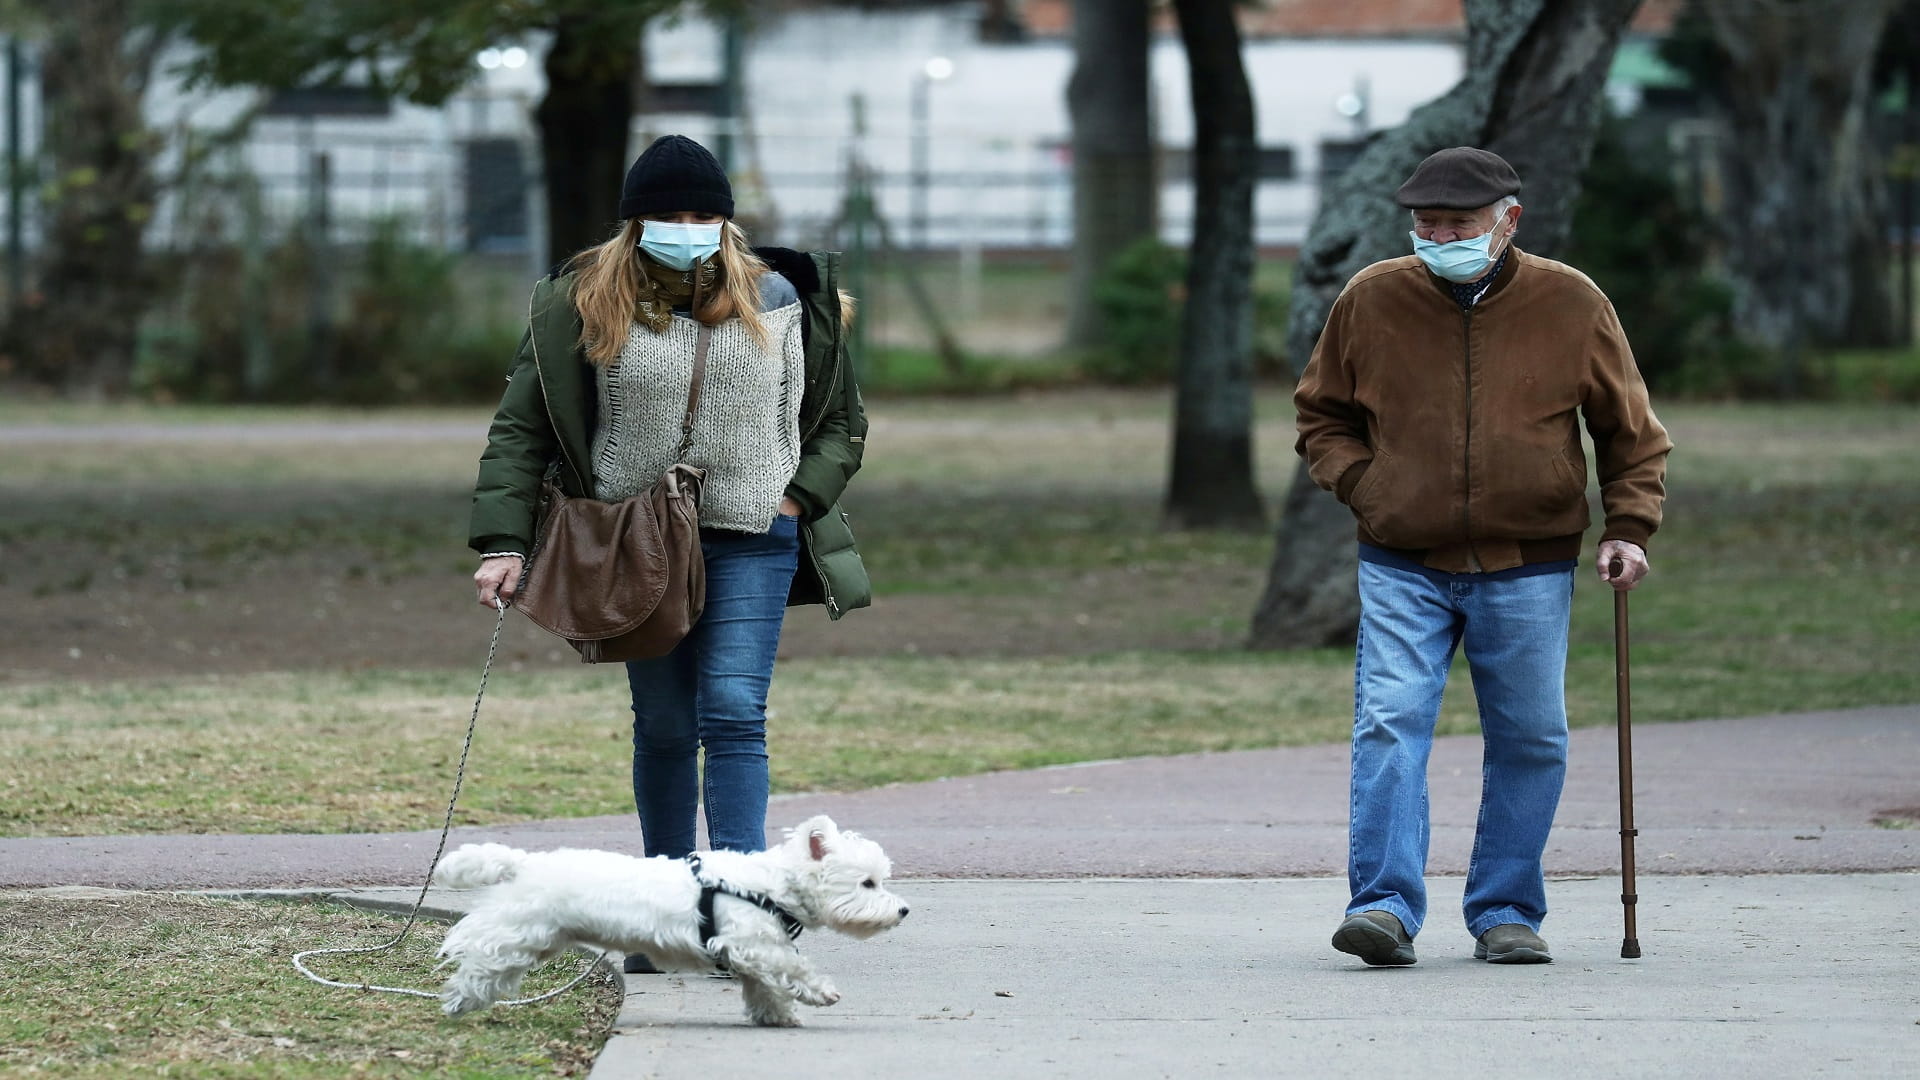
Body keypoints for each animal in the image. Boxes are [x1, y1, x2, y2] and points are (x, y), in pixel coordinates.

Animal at [432, 810, 910, 1022]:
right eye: (868, 883)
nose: (904, 909)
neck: (770, 885)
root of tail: (526, 863)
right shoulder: (752, 943)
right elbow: (791, 967)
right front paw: (820, 992)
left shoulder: (750, 954)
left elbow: (765, 988)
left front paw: (777, 1016)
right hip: (519, 931)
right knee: (481, 955)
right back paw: (458, 999)